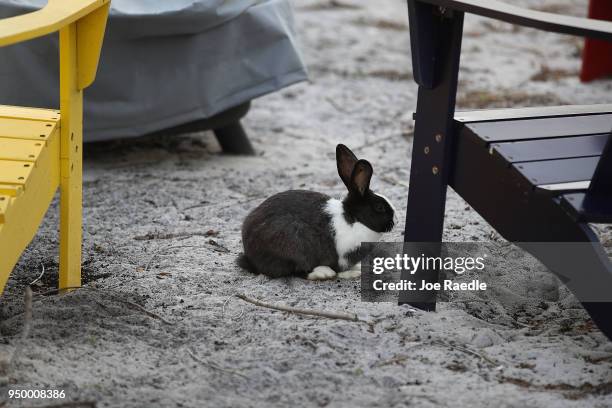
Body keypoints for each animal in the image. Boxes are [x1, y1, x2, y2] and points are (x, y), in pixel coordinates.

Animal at [237, 144, 394, 280]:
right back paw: (322, 273)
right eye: (380, 207)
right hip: (292, 245)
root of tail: (250, 257)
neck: (354, 219)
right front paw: (350, 273)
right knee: (295, 271)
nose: (395, 221)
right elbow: (339, 267)